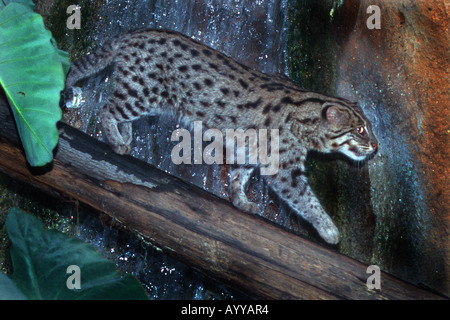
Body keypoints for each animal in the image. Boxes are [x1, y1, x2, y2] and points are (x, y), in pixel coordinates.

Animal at [63, 29, 378, 245]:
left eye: (368, 128)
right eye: (360, 130)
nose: (376, 145)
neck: (305, 111)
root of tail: (130, 33)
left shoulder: (250, 150)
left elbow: (239, 176)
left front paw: (241, 201)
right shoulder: (283, 167)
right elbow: (305, 198)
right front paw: (329, 229)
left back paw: (125, 136)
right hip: (143, 92)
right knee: (106, 108)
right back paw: (116, 141)